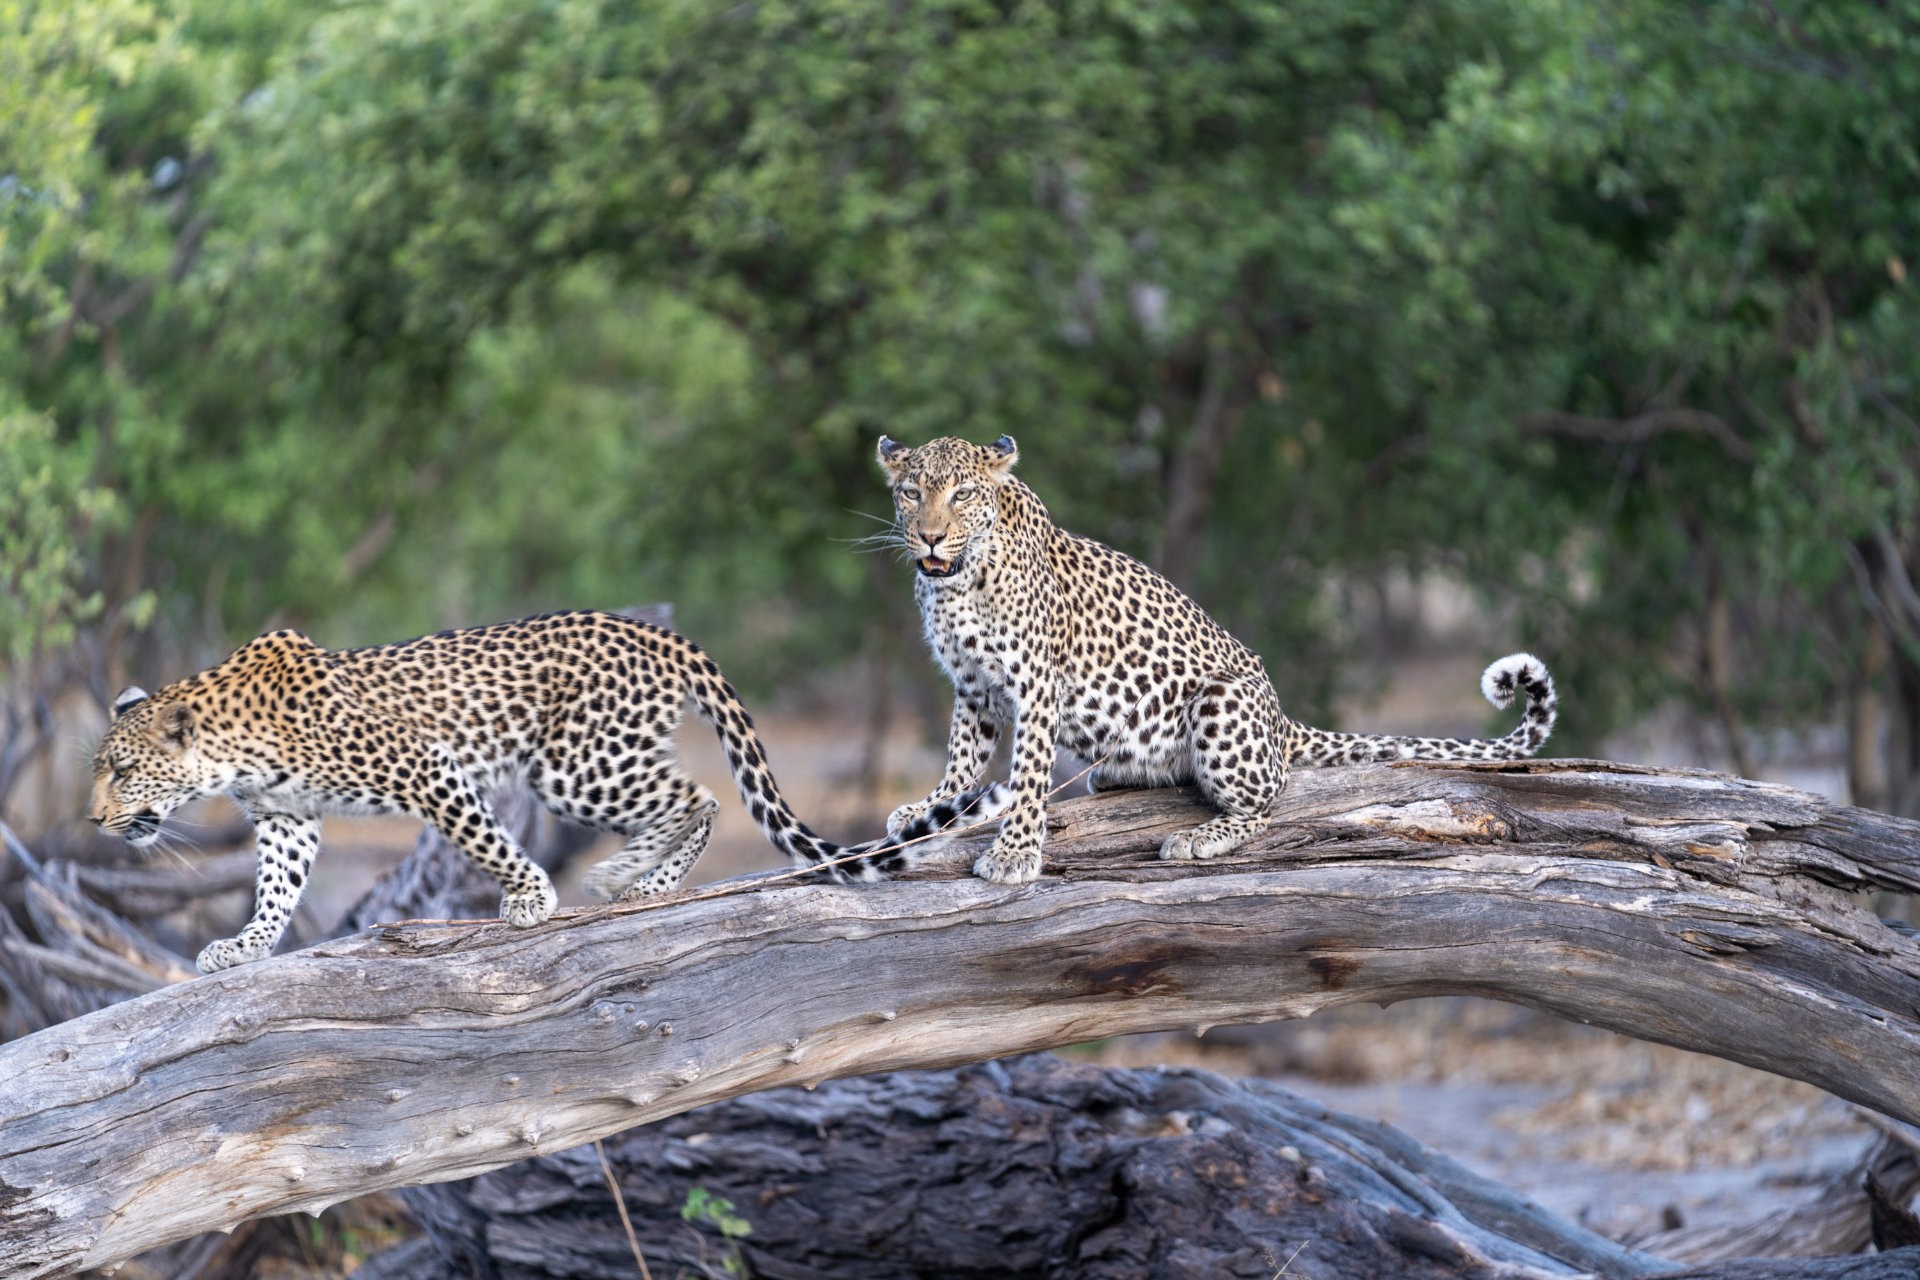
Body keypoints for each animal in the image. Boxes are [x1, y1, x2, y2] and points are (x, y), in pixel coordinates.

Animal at [89, 609, 1008, 972]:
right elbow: (276, 890)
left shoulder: (428, 768)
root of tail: (657, 632)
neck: (229, 750)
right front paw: (245, 947)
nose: (94, 819)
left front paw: (529, 899)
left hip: (574, 764)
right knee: (692, 796)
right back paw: (630, 878)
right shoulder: (289, 818)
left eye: (122, 771)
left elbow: (484, 838)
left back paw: (636, 880)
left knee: (699, 796)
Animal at [876, 433, 1557, 885]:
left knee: (1269, 803)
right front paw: (931, 809)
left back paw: (1197, 837)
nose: (931, 536)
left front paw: (1015, 850)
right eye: (911, 493)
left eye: (962, 494)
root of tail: (1282, 723)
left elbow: (1027, 770)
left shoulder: (1037, 683)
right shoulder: (973, 688)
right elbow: (963, 756)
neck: (955, 584)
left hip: (1220, 702)